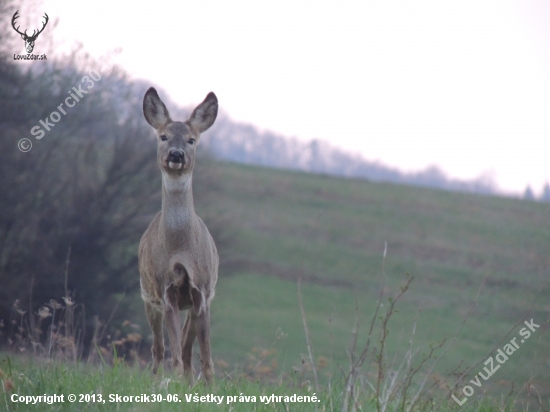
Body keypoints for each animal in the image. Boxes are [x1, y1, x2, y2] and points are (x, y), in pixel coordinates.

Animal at [140, 87, 220, 384]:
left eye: (191, 140)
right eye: (163, 136)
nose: (176, 154)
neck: (180, 247)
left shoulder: (202, 290)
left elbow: (204, 354)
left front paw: (210, 384)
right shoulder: (166, 289)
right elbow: (172, 349)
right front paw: (173, 379)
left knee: (187, 348)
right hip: (147, 296)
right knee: (158, 347)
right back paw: (158, 377)